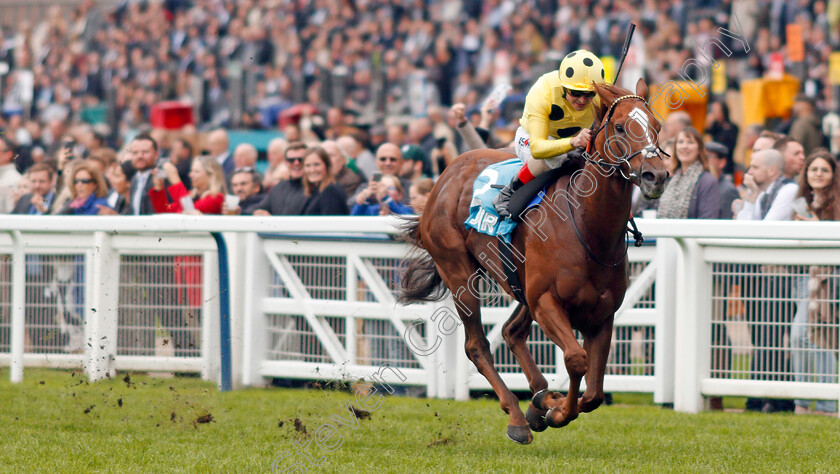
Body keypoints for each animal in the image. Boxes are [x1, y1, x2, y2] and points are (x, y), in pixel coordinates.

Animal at [400, 79, 668, 442]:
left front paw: (551, 405)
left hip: (520, 284)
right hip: (458, 272)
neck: (586, 225)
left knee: (512, 332)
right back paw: (517, 415)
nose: (656, 175)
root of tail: (447, 173)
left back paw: (540, 399)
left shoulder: (602, 313)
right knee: (477, 345)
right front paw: (558, 412)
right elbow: (576, 359)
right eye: (621, 127)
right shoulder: (546, 301)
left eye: (657, 127)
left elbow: (594, 393)